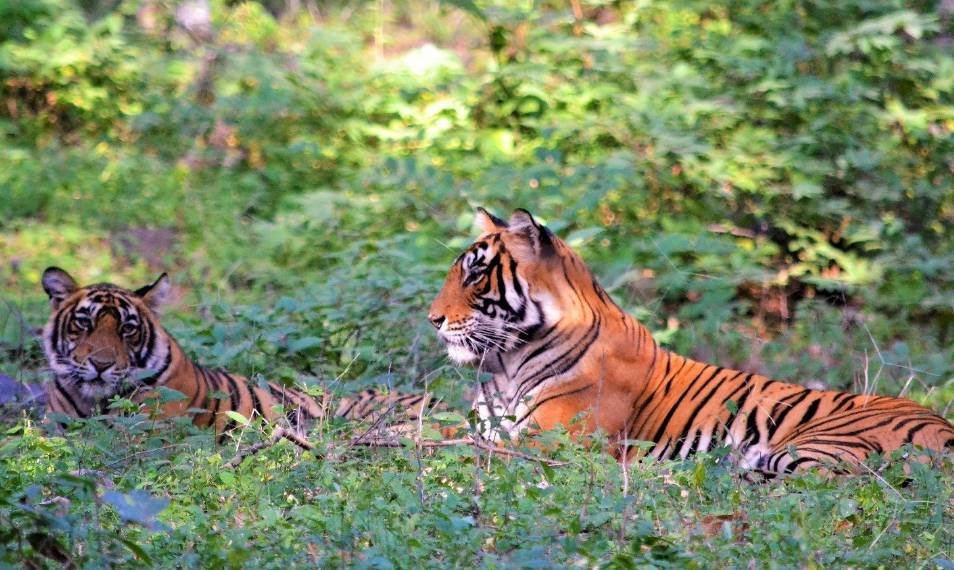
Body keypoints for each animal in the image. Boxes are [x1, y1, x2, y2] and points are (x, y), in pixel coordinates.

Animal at [427, 208, 954, 475]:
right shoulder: (483, 425)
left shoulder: (551, 439)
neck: (507, 363)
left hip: (813, 446)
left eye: (475, 273)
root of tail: (943, 425)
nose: (432, 319)